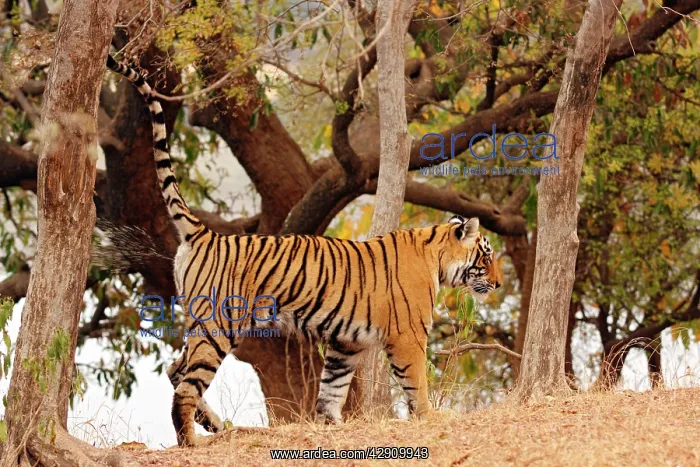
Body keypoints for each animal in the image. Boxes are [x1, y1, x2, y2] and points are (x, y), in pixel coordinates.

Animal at [106, 55, 502, 447]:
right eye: (487, 258)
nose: (499, 284)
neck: (436, 256)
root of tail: (206, 234)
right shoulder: (408, 334)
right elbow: (416, 380)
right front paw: (429, 417)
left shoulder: (345, 342)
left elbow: (332, 386)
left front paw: (331, 425)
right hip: (219, 324)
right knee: (186, 385)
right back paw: (191, 439)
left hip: (199, 320)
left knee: (176, 369)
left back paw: (216, 426)